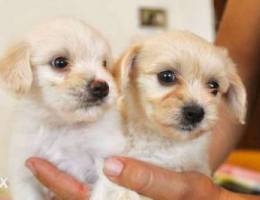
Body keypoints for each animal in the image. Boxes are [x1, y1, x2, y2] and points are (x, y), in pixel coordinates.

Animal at [0, 18, 125, 199]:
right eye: (60, 62)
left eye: (104, 64)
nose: (102, 87)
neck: (64, 125)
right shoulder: (24, 175)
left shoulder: (109, 163)